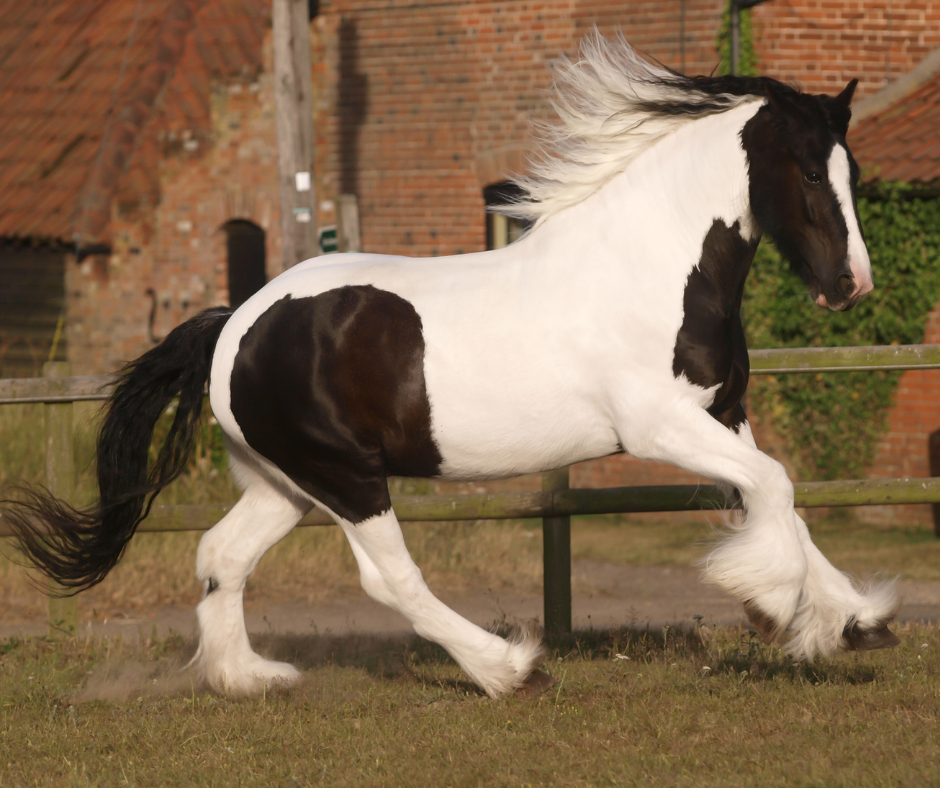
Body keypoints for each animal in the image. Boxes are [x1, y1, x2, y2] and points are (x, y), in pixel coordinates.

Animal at [6, 34, 899, 699]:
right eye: (809, 170)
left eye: (854, 172)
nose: (851, 286)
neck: (651, 266)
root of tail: (235, 326)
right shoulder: (658, 426)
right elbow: (775, 487)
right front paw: (775, 607)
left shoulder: (722, 414)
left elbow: (786, 498)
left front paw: (854, 621)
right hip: (346, 477)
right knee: (388, 580)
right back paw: (508, 668)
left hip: (282, 482)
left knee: (220, 556)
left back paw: (249, 678)